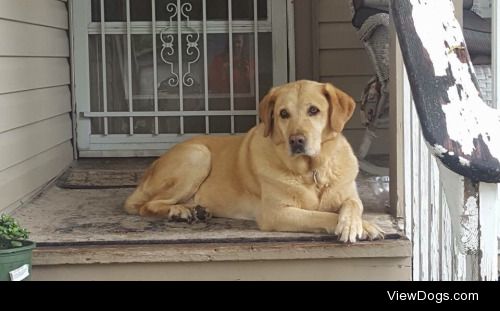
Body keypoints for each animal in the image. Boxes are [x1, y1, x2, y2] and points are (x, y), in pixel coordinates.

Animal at [124, 80, 382, 244]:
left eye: (313, 110)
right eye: (283, 114)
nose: (296, 140)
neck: (311, 171)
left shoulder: (348, 195)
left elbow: (353, 205)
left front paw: (359, 223)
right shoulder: (277, 213)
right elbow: (322, 215)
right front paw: (363, 226)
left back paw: (196, 210)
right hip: (198, 155)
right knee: (147, 205)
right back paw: (179, 211)